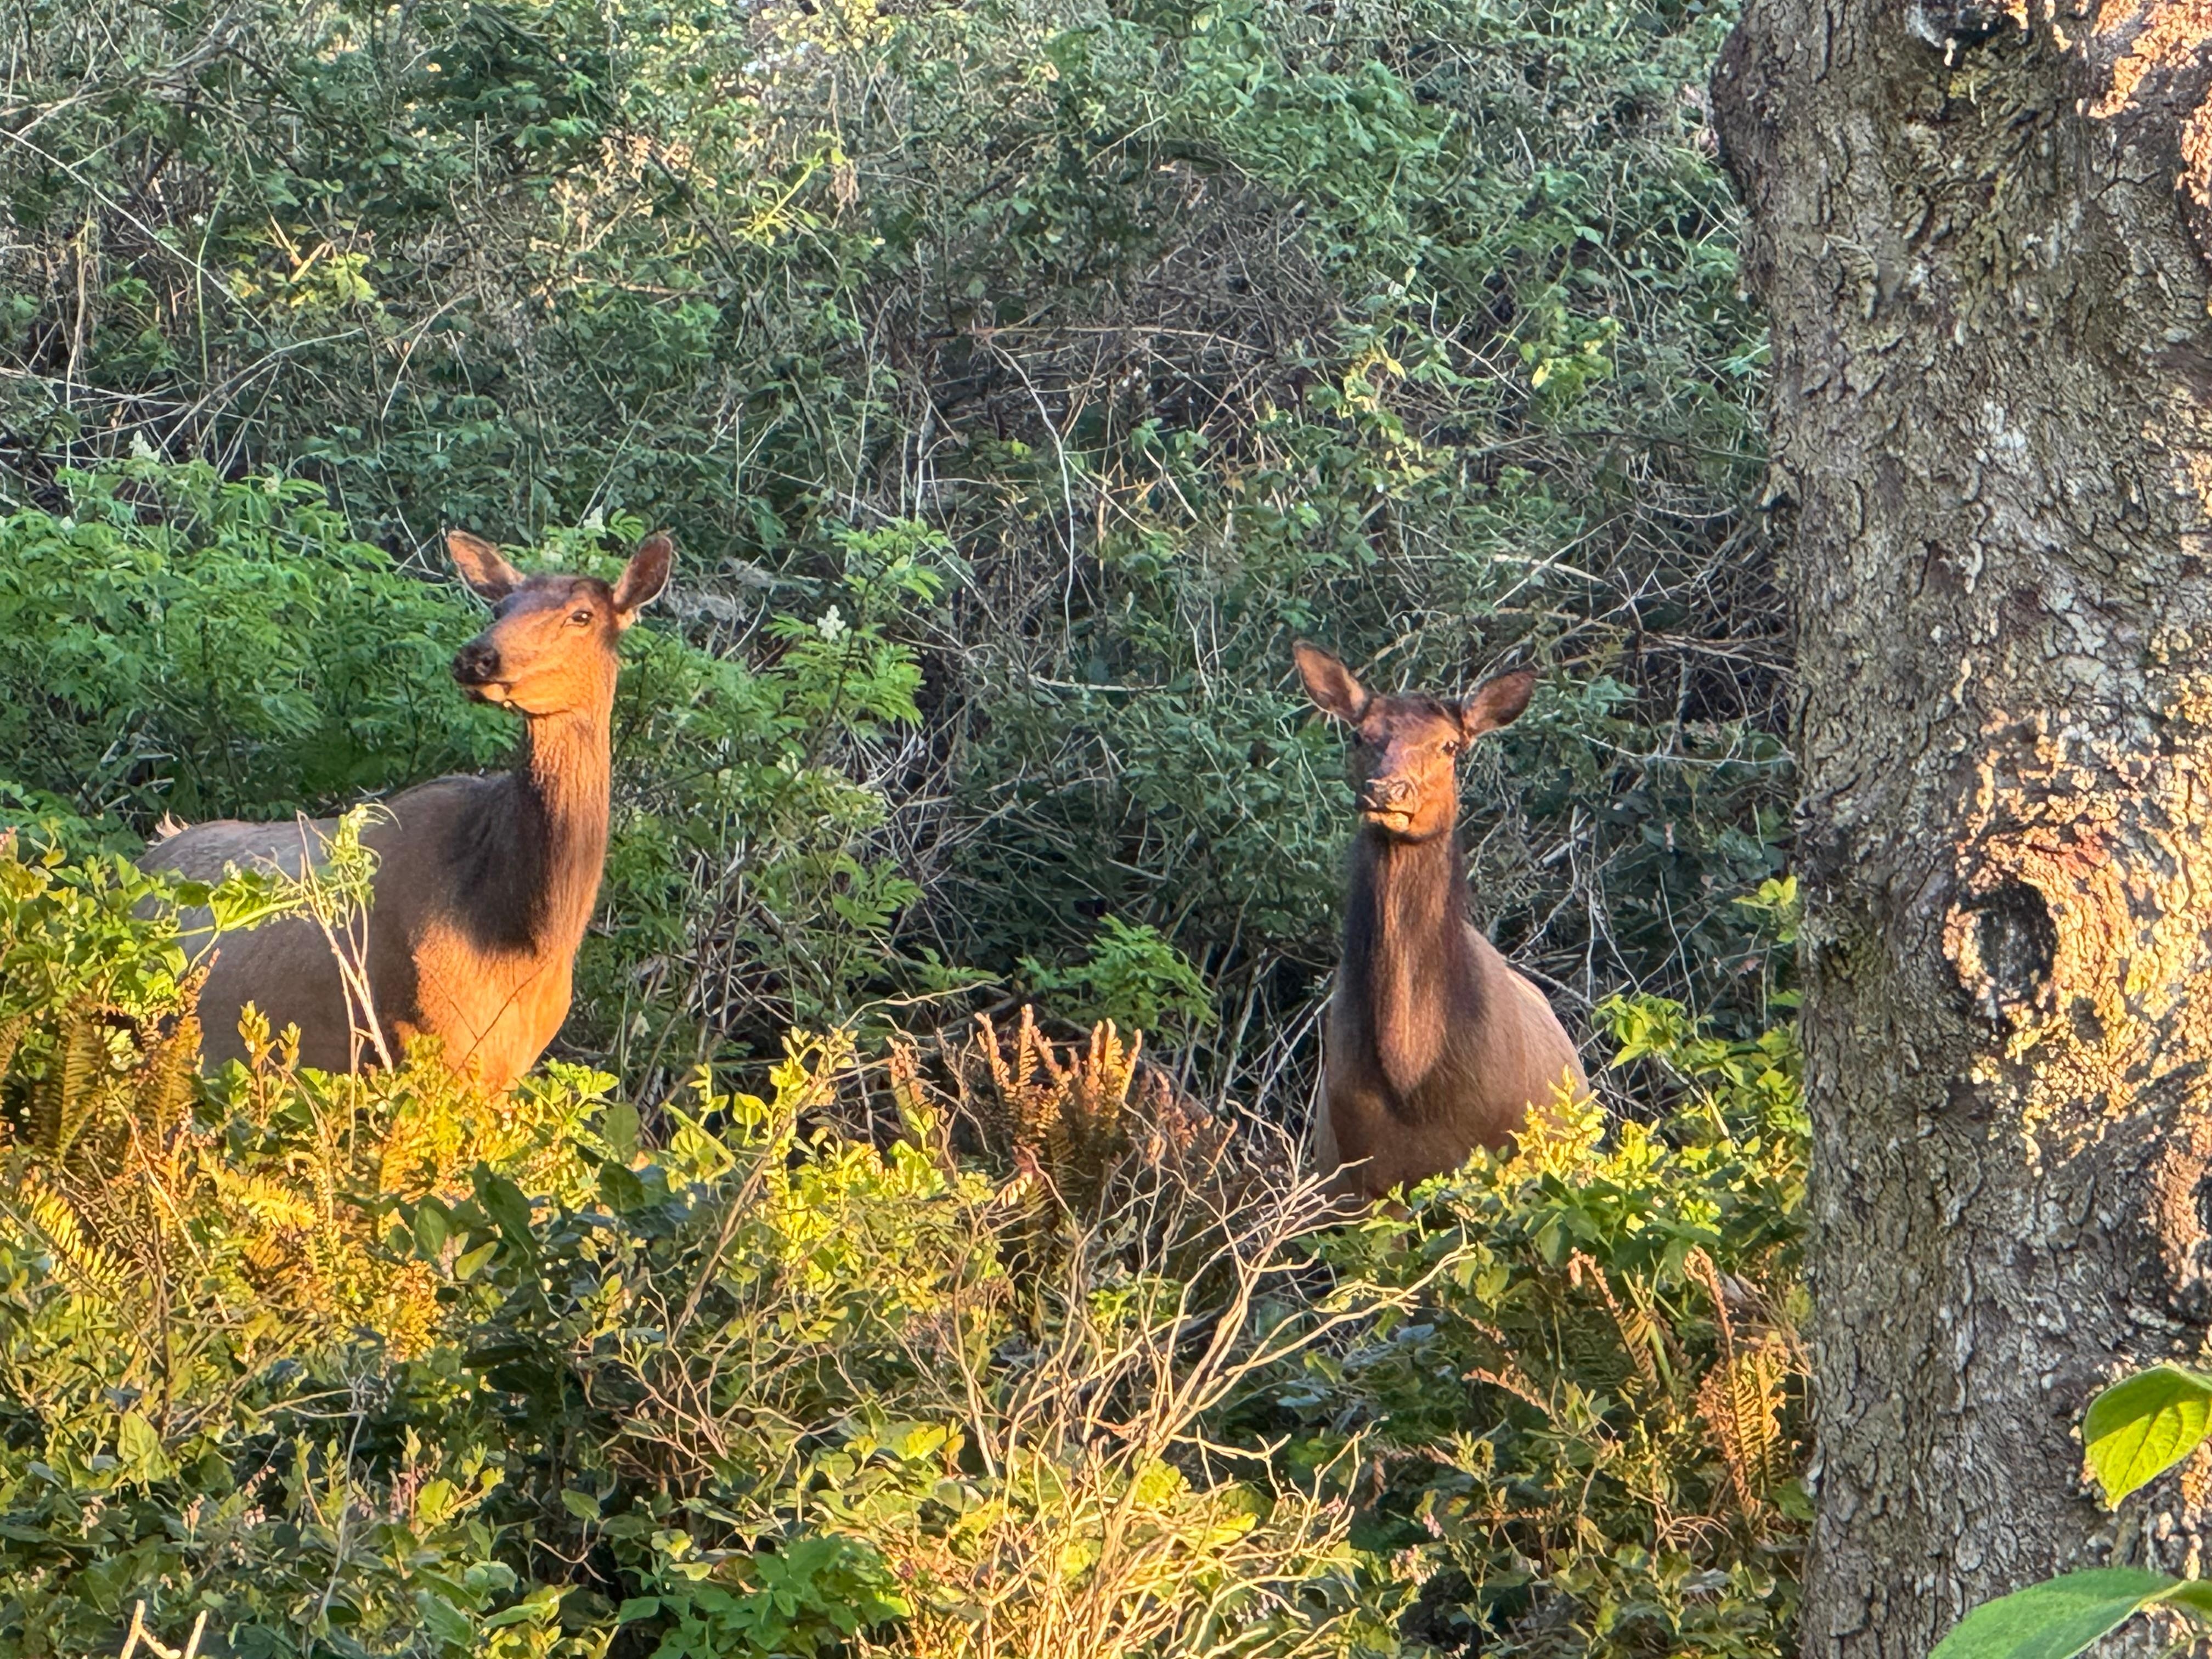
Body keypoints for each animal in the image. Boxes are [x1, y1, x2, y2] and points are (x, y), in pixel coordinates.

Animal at [1294, 642, 1588, 1202]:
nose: (1388, 790)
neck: (1411, 1073)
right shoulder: (1360, 1182)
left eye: (1450, 745)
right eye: (1360, 735)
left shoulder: (1495, 1164)